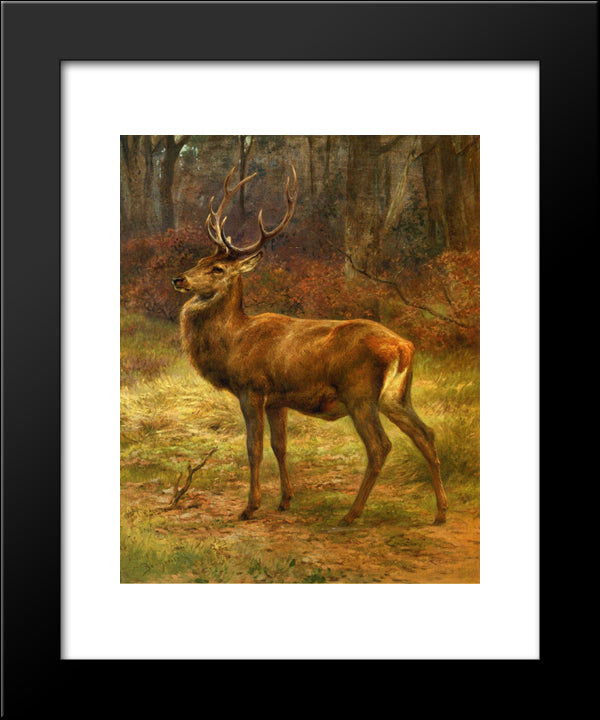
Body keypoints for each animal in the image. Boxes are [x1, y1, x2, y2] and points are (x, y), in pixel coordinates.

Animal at [172, 165, 448, 526]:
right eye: (199, 259)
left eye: (217, 268)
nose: (179, 278)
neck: (234, 341)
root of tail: (404, 347)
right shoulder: (277, 399)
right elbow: (280, 446)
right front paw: (285, 500)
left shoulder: (252, 388)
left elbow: (253, 448)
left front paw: (250, 507)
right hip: (397, 395)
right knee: (426, 434)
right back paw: (441, 512)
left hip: (359, 392)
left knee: (380, 446)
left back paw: (351, 514)